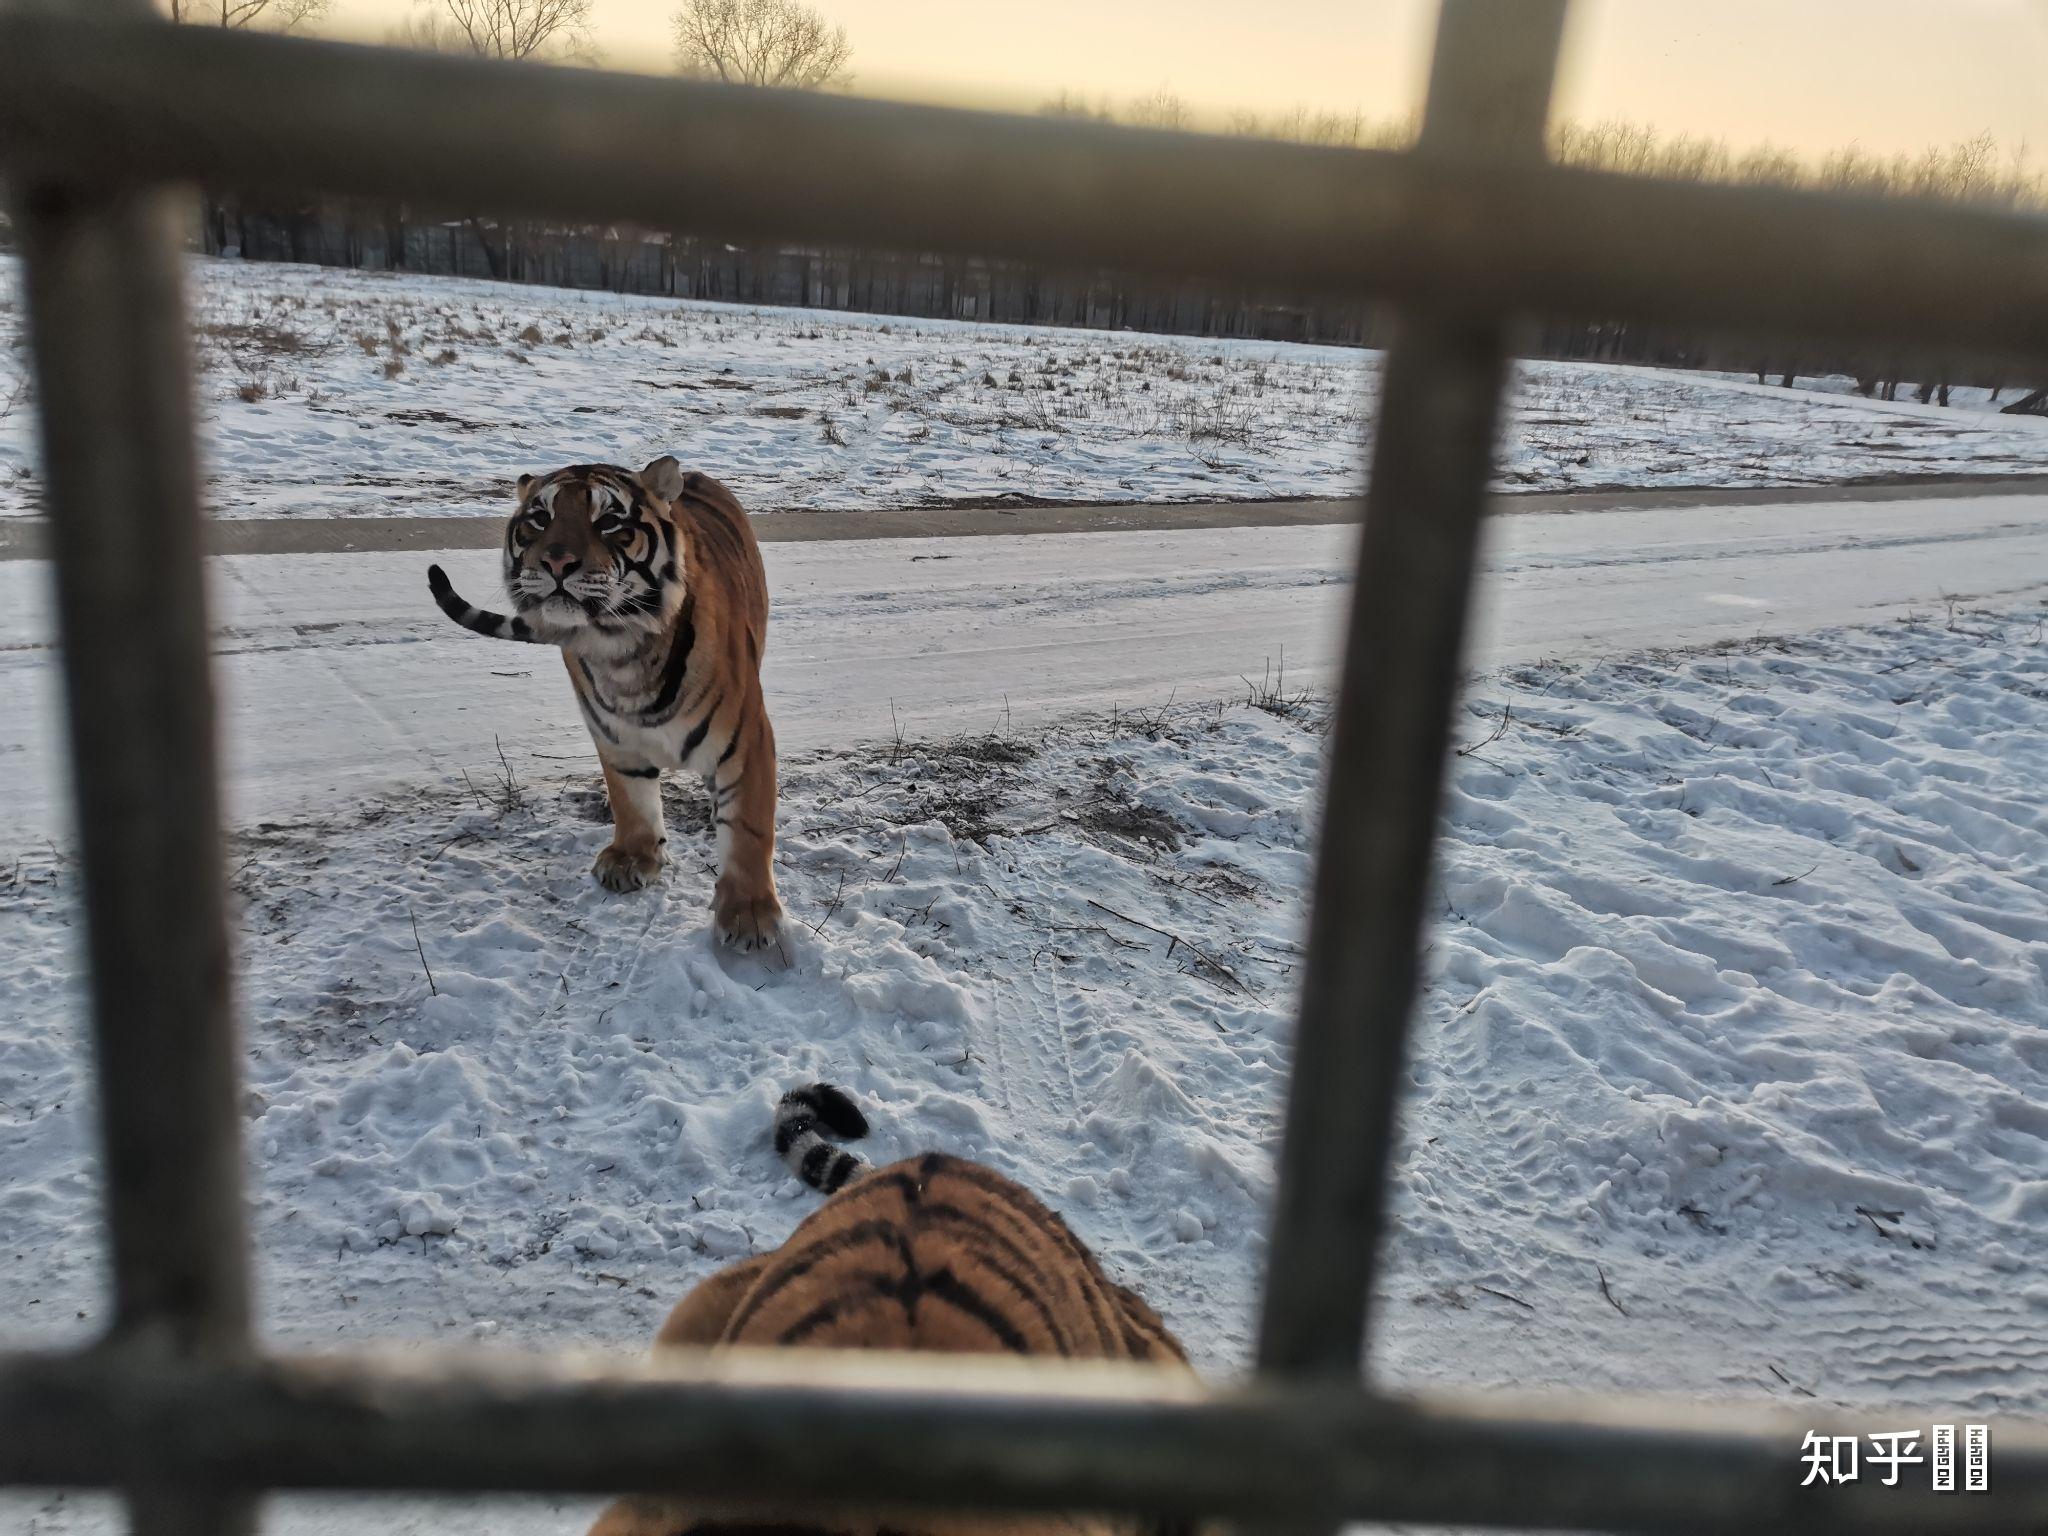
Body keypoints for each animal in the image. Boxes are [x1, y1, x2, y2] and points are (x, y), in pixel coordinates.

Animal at [428, 460, 778, 950]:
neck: (621, 650)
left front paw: (750, 920)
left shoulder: (745, 744)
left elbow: (747, 829)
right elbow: (631, 800)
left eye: (609, 522)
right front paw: (633, 859)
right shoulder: (614, 737)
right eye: (541, 518)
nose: (556, 562)